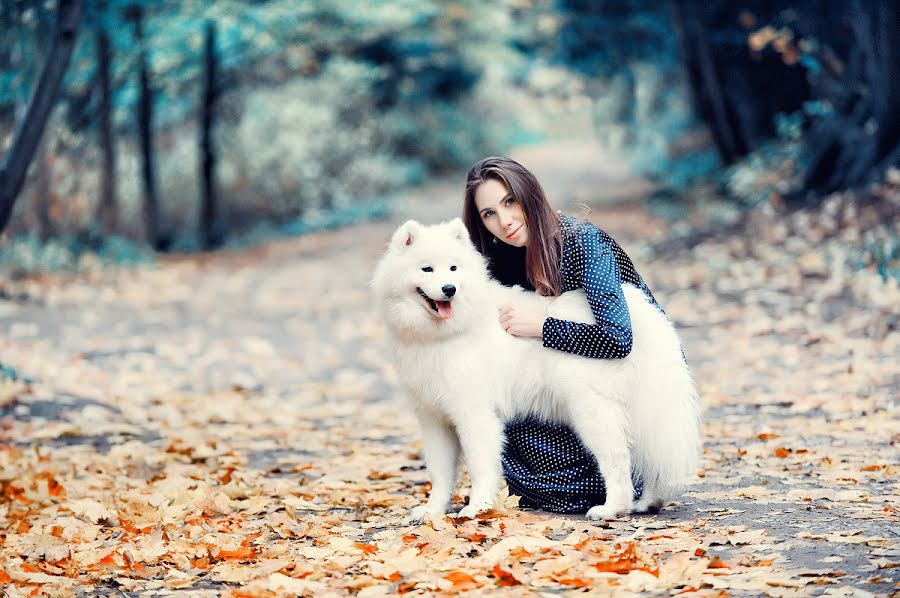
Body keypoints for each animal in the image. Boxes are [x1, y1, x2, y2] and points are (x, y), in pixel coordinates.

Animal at [370, 218, 700, 524]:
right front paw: (432, 511)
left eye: (453, 268)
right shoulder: (434, 418)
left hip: (592, 408)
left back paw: (612, 509)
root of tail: (645, 312)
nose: (449, 289)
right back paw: (648, 502)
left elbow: (480, 465)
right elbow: (440, 473)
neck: (443, 334)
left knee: (618, 457)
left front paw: (477, 507)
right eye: (427, 269)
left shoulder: (474, 414)